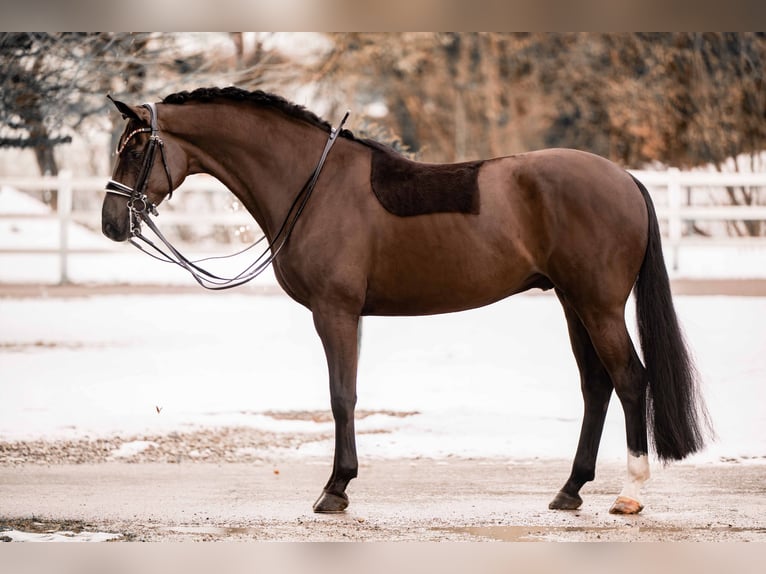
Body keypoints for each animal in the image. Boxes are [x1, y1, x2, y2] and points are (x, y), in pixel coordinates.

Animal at [101, 86, 711, 515]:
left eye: (138, 148)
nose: (111, 222)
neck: (312, 185)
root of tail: (624, 178)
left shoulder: (336, 312)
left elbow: (341, 397)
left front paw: (336, 489)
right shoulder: (345, 315)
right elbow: (345, 396)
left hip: (598, 305)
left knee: (630, 379)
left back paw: (629, 492)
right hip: (572, 302)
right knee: (596, 385)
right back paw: (570, 489)